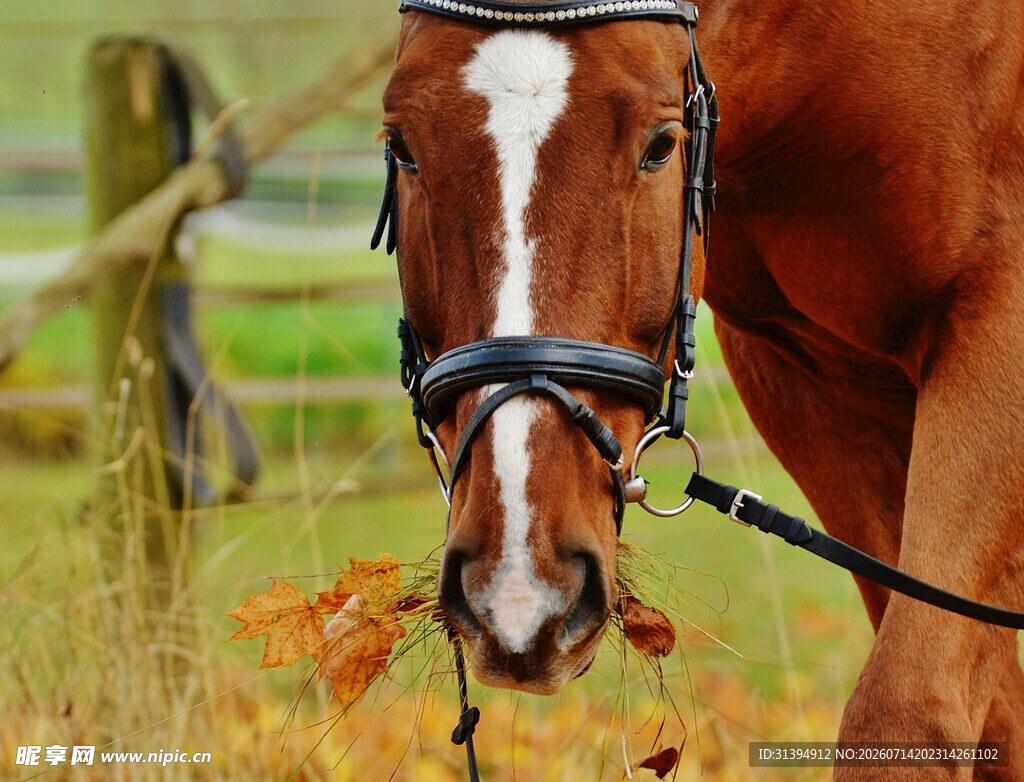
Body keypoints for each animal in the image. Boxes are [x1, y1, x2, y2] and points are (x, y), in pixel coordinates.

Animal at [378, 0, 1024, 778]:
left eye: (662, 145)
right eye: (403, 147)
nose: (519, 593)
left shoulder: (998, 323)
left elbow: (909, 712)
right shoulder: (803, 378)